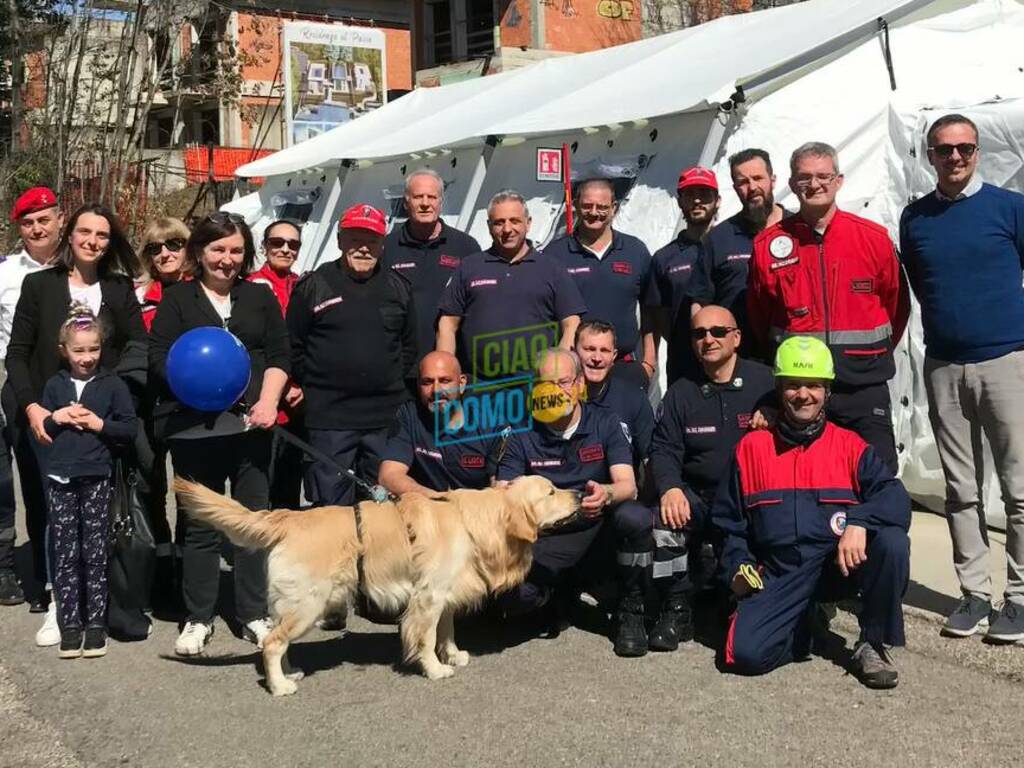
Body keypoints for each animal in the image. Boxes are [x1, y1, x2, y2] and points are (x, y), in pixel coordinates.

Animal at [172, 475, 581, 696]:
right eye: (550, 492)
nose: (578, 493)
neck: (478, 519)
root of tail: (288, 517)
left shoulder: (444, 595)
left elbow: (447, 631)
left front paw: (453, 655)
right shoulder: (427, 597)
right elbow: (426, 639)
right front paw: (435, 669)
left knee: (277, 641)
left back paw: (289, 672)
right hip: (309, 603)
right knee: (272, 643)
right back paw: (280, 686)